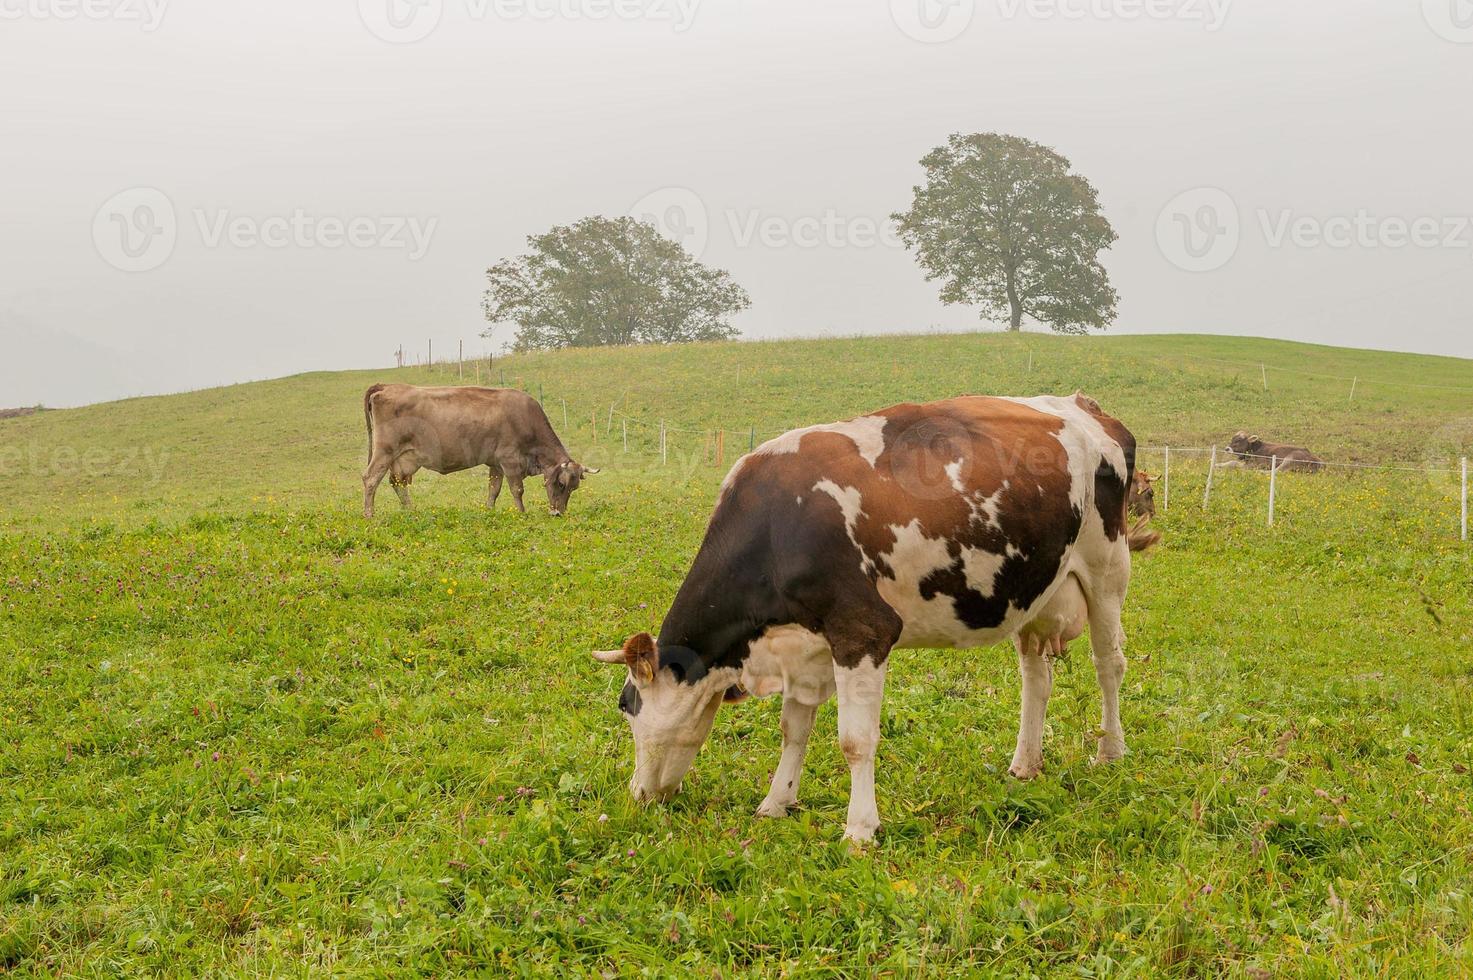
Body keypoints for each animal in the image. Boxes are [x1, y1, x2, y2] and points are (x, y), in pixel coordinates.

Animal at [359, 383, 595, 518]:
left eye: (573, 488)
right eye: (561, 484)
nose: (557, 513)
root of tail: (387, 386)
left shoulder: (496, 463)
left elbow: (494, 489)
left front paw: (489, 510)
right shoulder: (510, 460)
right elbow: (517, 490)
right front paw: (521, 513)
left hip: (403, 459)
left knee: (397, 483)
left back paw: (410, 511)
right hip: (385, 451)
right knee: (371, 479)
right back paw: (369, 514)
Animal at [592, 389, 1154, 842]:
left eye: (626, 707)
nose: (638, 794)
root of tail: (1084, 405)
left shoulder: (863, 631)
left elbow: (855, 741)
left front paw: (860, 829)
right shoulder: (803, 647)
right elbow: (794, 729)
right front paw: (777, 802)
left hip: (1107, 569)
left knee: (1109, 664)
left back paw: (1110, 752)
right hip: (1037, 588)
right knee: (1036, 677)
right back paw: (1025, 763)